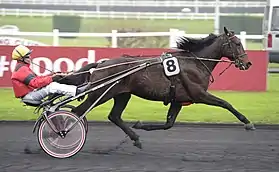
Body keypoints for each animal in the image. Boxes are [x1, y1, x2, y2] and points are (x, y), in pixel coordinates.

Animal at [71, 26, 256, 148]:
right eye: (237, 43)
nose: (247, 63)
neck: (195, 62)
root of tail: (101, 64)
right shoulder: (199, 94)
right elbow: (226, 103)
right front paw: (247, 123)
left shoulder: (178, 100)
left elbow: (168, 124)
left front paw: (141, 125)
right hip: (100, 94)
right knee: (77, 112)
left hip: (122, 94)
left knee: (114, 116)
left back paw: (135, 138)